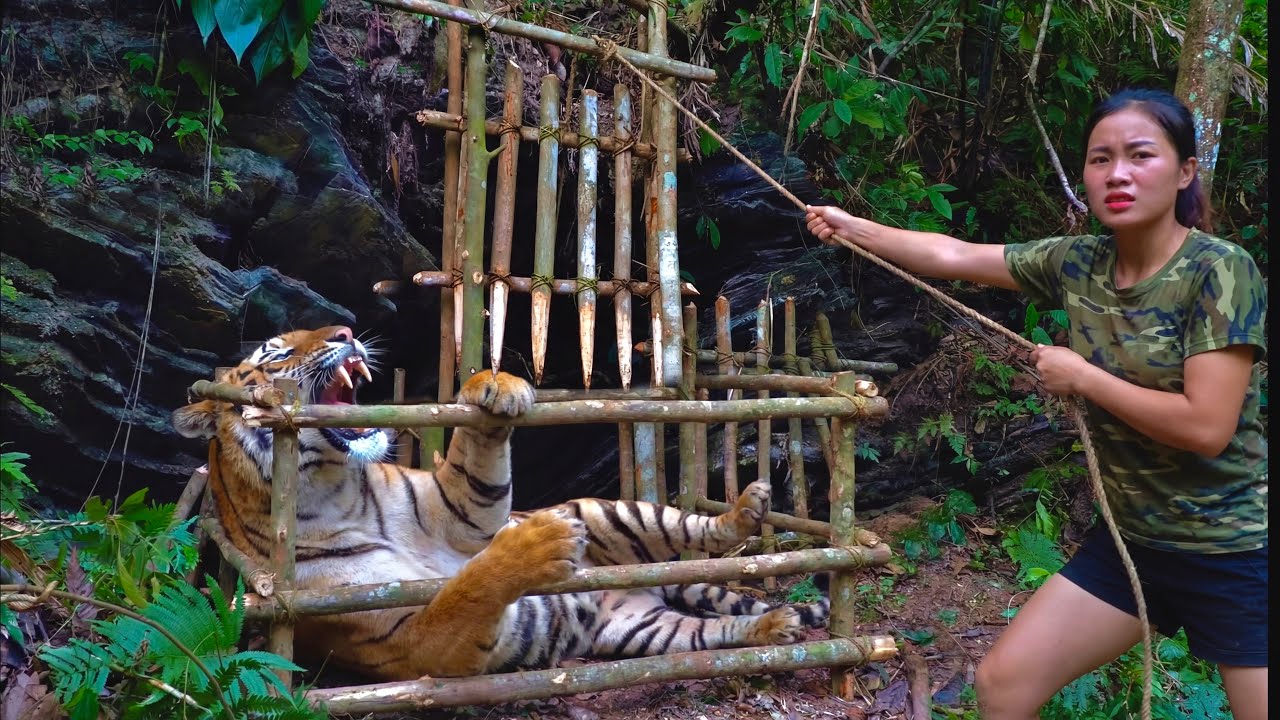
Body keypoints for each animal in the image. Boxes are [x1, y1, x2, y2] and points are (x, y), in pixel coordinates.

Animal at [173, 325, 829, 680]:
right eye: (276, 354)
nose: (346, 332)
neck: (338, 490)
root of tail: (637, 588)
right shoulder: (411, 640)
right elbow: (466, 588)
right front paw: (541, 541)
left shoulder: (457, 509)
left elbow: (476, 471)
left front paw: (495, 385)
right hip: (645, 632)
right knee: (712, 634)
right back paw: (774, 622)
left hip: (615, 510)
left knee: (706, 534)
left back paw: (748, 509)